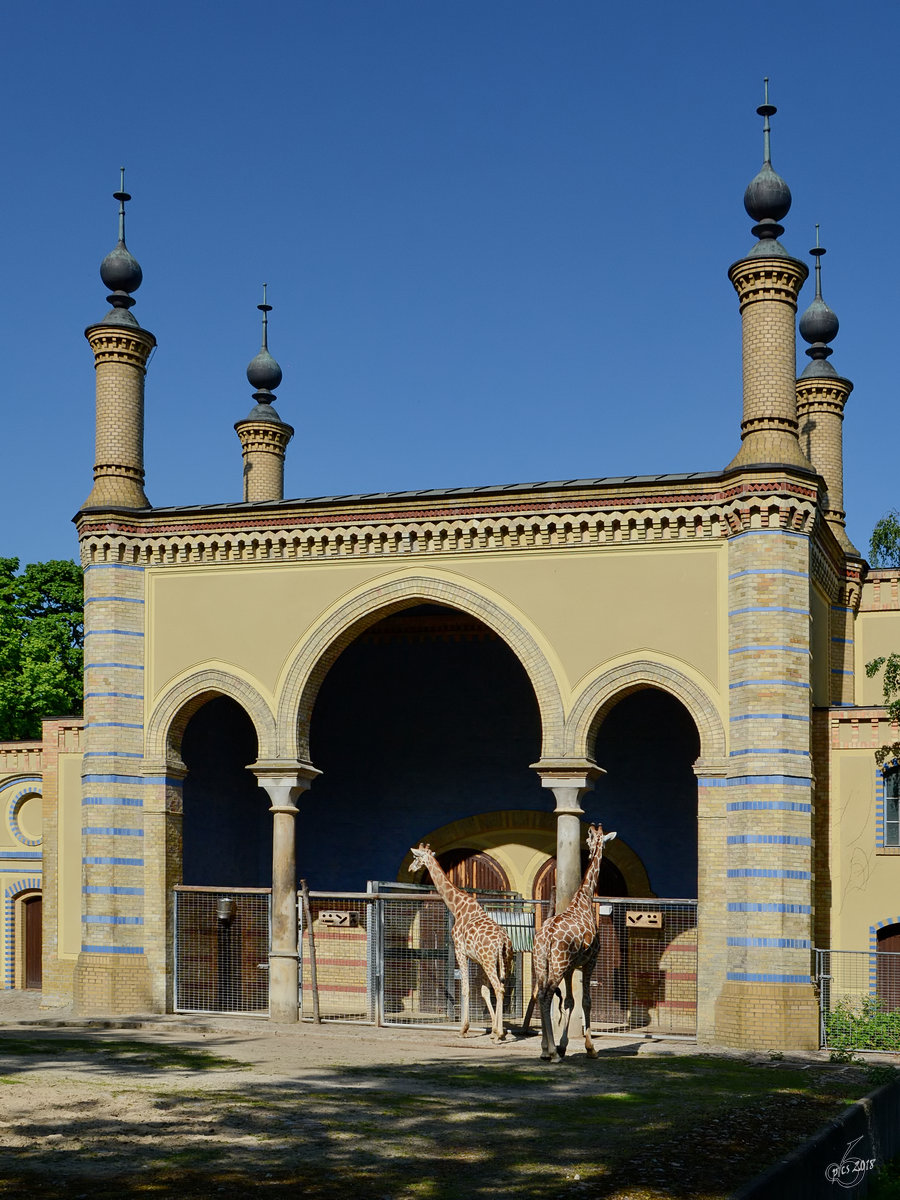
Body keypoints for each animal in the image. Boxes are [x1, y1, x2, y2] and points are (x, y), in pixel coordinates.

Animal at [408, 844, 513, 1041]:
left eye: (416, 857)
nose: (411, 868)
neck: (456, 906)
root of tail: (503, 940)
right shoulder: (477, 959)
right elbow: (483, 991)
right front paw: (493, 1029)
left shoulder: (459, 950)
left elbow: (465, 989)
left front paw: (463, 1029)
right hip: (504, 961)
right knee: (501, 986)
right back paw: (499, 1033)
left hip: (490, 960)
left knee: (499, 988)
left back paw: (498, 1036)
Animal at [532, 825, 619, 1060]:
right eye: (604, 841)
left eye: (589, 841)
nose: (590, 853)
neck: (584, 899)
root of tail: (548, 936)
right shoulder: (590, 961)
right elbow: (586, 1001)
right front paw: (590, 1048)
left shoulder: (572, 968)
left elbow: (570, 1001)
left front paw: (564, 1045)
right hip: (558, 964)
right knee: (547, 996)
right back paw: (552, 1053)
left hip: (542, 963)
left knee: (540, 995)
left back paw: (545, 1049)